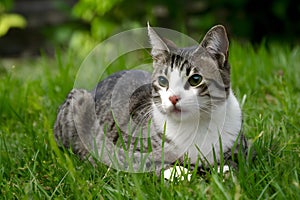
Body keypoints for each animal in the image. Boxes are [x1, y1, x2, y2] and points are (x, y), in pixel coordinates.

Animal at [53, 23, 246, 175]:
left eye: (195, 79)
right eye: (163, 81)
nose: (173, 98)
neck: (196, 126)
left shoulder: (240, 147)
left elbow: (235, 163)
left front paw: (222, 170)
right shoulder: (127, 151)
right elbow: (156, 163)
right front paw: (183, 174)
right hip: (77, 101)